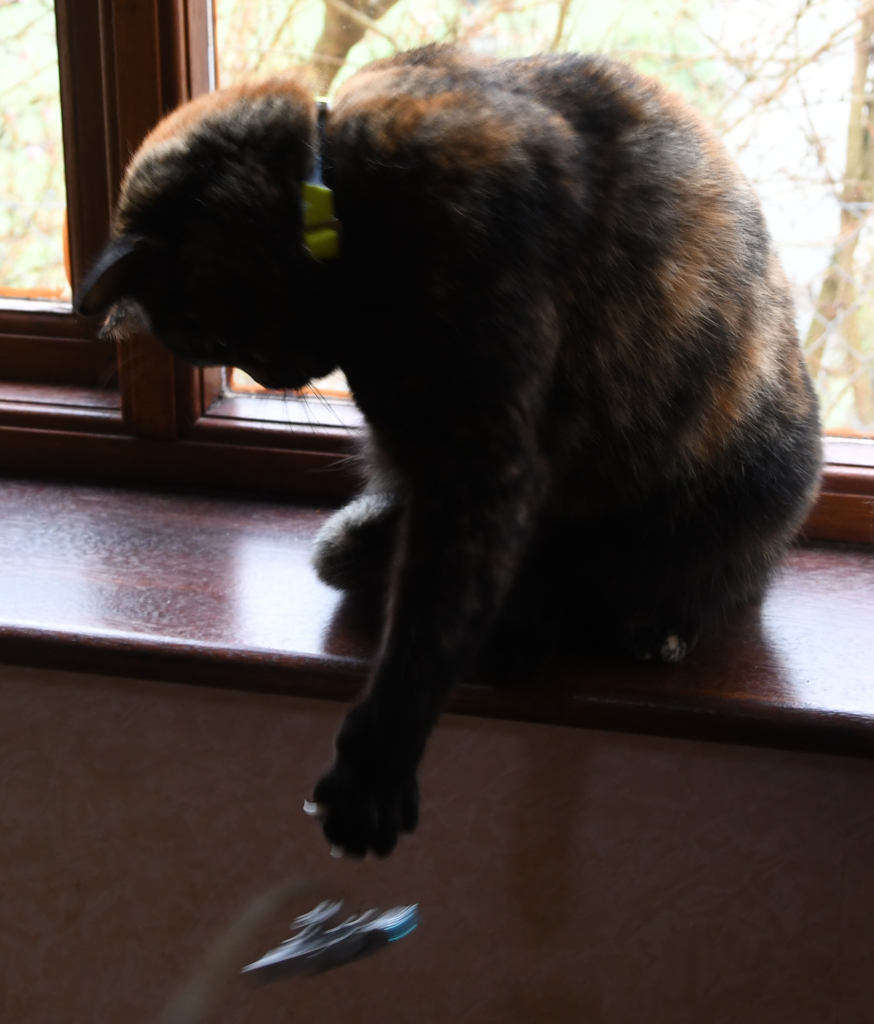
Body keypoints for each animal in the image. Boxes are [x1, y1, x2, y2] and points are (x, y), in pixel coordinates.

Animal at [75, 46, 822, 858]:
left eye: (209, 343)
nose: (272, 378)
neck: (342, 190)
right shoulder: (431, 461)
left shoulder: (481, 451)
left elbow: (435, 613)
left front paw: (378, 759)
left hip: (757, 483)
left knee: (720, 575)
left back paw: (656, 623)